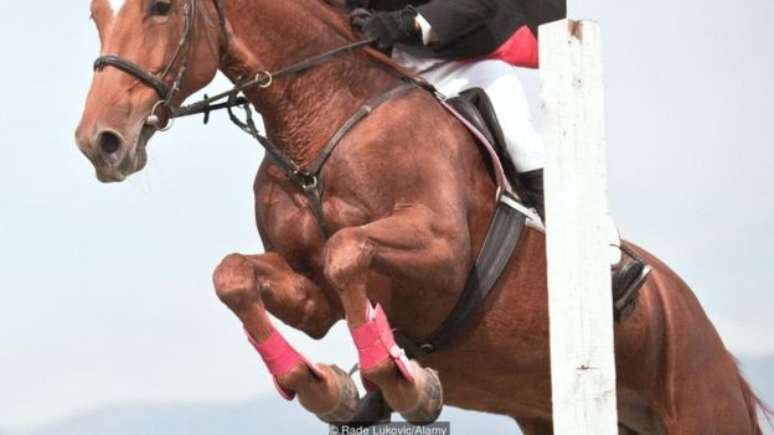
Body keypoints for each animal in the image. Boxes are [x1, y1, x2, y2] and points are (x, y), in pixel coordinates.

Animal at [74, 0, 768, 435]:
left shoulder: (443, 253)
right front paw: (322, 385)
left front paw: (401, 383)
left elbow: (348, 250)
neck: (322, 120)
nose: (100, 142)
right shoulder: (312, 295)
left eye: (161, 7)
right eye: (95, 14)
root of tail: (704, 331)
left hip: (701, 405)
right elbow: (236, 276)